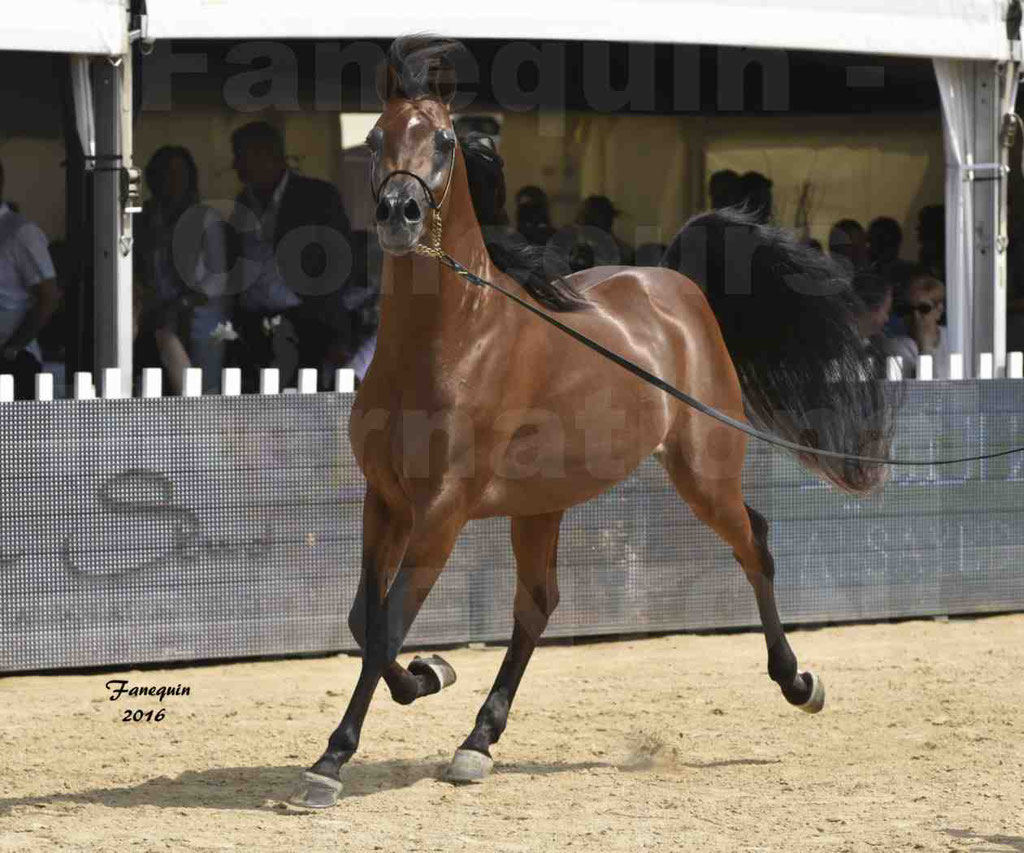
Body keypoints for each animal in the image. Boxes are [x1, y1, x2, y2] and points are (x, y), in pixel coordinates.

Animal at [290, 34, 888, 806]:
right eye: (373, 137)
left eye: (446, 140)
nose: (400, 214)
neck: (449, 340)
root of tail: (676, 283)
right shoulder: (386, 499)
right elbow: (366, 620)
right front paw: (430, 674)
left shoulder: (443, 510)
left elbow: (389, 622)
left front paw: (331, 760)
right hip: (540, 504)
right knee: (537, 605)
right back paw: (477, 742)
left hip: (702, 470)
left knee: (753, 542)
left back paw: (799, 683)